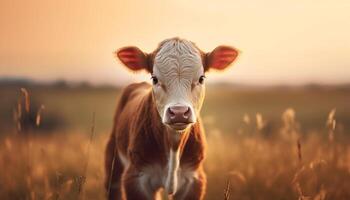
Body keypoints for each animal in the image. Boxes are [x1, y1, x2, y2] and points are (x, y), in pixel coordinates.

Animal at [105, 38, 239, 200]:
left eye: (201, 78)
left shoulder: (194, 179)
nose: (179, 112)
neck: (173, 146)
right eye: (154, 79)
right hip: (113, 158)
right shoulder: (136, 178)